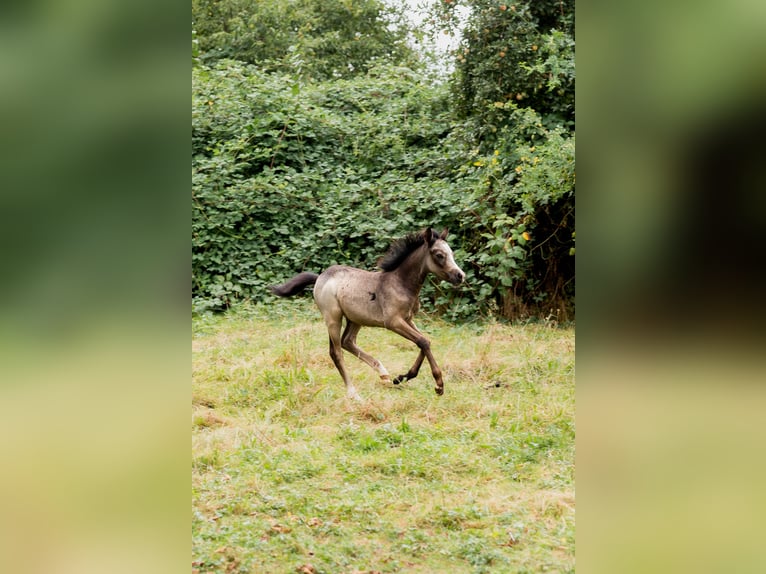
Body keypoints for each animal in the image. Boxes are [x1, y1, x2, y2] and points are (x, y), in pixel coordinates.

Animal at [272, 228, 472, 400]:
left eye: (452, 254)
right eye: (439, 255)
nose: (460, 276)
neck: (401, 283)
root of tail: (319, 277)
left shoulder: (408, 319)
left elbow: (424, 341)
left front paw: (402, 377)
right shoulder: (393, 322)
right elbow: (423, 341)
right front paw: (439, 384)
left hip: (355, 319)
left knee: (347, 342)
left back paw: (383, 373)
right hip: (333, 317)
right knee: (336, 352)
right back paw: (353, 393)